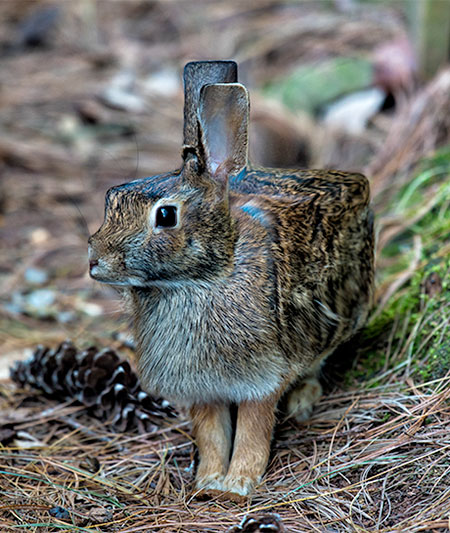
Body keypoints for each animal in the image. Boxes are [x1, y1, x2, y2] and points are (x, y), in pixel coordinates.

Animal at [89, 61, 376, 498]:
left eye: (166, 216)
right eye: (110, 199)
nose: (96, 261)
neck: (202, 278)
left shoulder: (264, 375)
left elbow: (253, 428)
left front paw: (239, 483)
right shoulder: (202, 389)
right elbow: (211, 433)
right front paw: (209, 482)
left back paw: (301, 404)